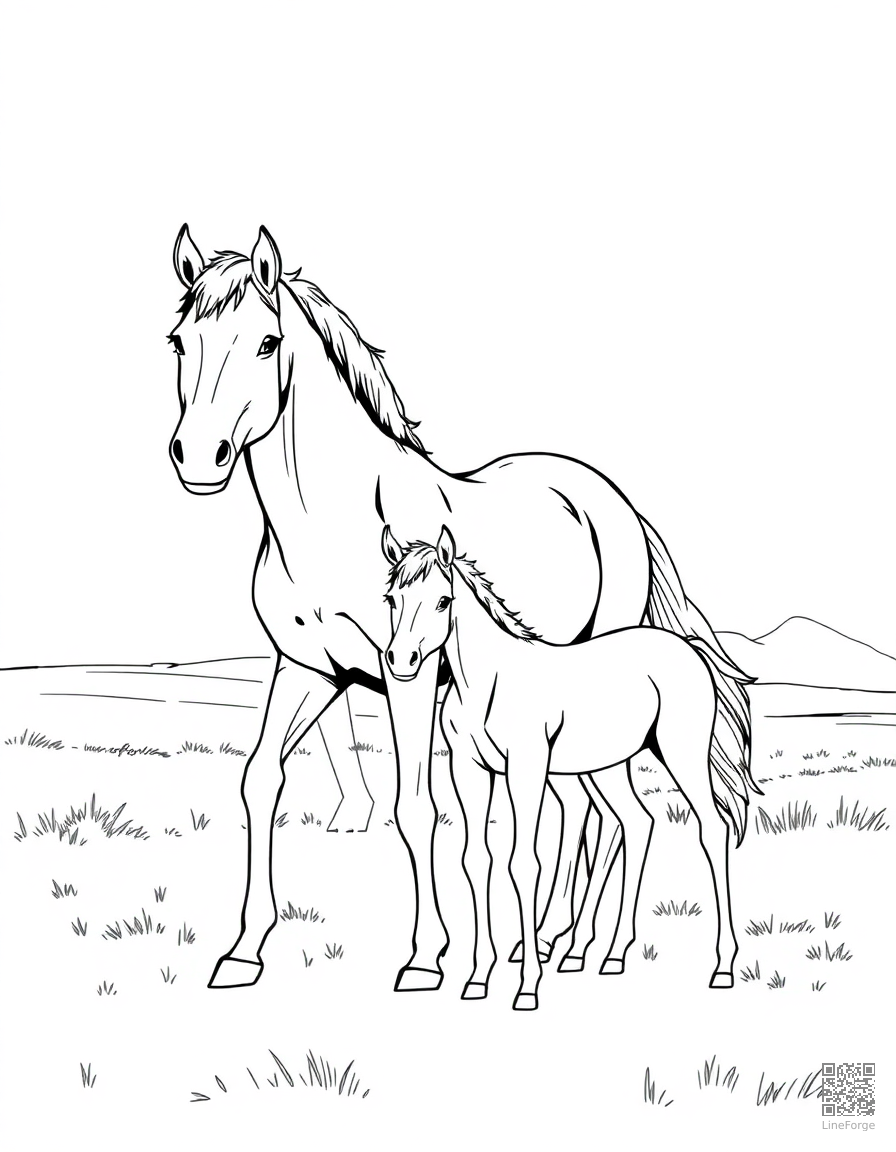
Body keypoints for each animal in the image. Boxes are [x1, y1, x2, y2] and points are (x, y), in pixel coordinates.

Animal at [382, 526, 758, 1010]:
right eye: (392, 599)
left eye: (443, 601)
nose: (401, 661)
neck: (486, 683)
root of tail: (687, 648)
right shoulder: (470, 771)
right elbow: (476, 861)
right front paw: (478, 978)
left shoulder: (526, 767)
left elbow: (524, 864)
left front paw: (526, 986)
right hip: (609, 766)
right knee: (637, 823)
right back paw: (611, 954)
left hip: (682, 753)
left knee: (711, 828)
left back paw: (723, 965)